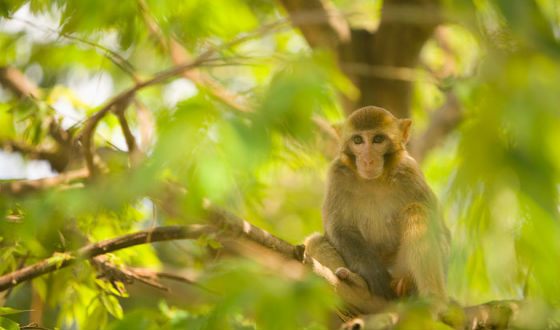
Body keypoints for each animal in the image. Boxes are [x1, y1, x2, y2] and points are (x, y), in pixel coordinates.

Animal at [322, 107, 448, 302]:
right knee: (314, 241)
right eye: (357, 140)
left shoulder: (410, 172)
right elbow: (339, 229)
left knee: (416, 211)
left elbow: (442, 234)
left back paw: (431, 298)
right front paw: (374, 274)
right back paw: (354, 281)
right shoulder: (337, 174)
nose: (368, 160)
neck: (374, 181)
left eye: (378, 139)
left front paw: (410, 282)